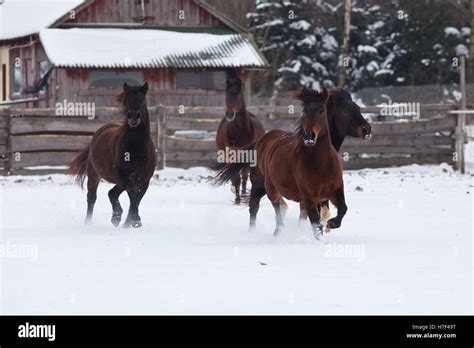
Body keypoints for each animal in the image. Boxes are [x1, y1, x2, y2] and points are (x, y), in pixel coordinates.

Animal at [67, 82, 156, 228]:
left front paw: (130, 221)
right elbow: (132, 194)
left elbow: (136, 198)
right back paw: (89, 223)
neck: (136, 149)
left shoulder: (144, 180)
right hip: (94, 174)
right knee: (92, 198)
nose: (133, 117)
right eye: (127, 100)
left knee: (112, 193)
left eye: (142, 100)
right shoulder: (123, 175)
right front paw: (133, 220)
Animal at [216, 68, 264, 204]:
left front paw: (240, 196)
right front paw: (237, 198)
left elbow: (243, 176)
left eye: (238, 95)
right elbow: (234, 177)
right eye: (226, 94)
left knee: (244, 176)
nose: (229, 114)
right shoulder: (230, 155)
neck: (240, 133)